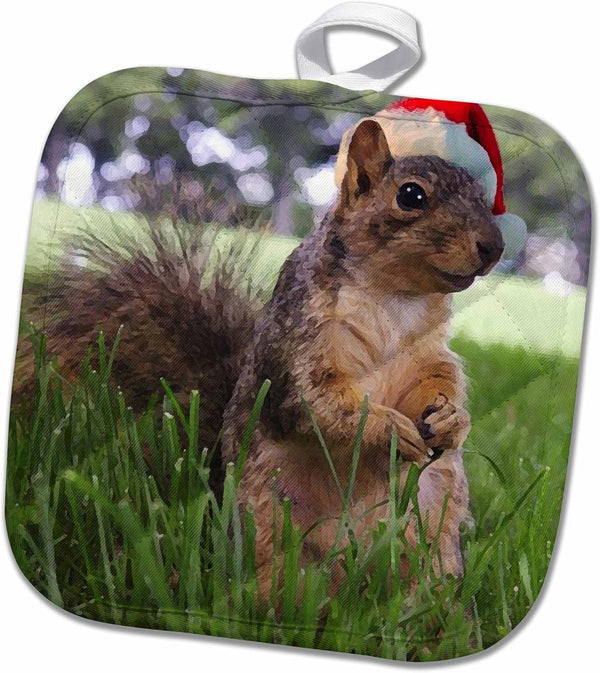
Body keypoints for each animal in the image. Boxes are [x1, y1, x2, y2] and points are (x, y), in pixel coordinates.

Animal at [14, 116, 504, 600]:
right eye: (411, 196)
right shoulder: (296, 345)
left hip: (432, 520)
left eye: (485, 198)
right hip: (270, 517)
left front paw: (450, 419)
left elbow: (440, 379)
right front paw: (387, 429)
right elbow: (317, 404)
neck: (396, 300)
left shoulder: (427, 352)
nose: (494, 247)